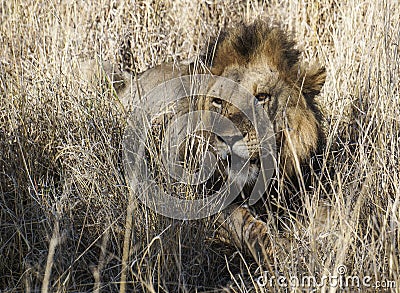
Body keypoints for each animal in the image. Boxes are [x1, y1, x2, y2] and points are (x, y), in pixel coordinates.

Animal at [86, 19, 326, 264]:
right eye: (218, 102)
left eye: (261, 97)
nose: (228, 138)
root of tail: (131, 78)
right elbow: (245, 224)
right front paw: (279, 253)